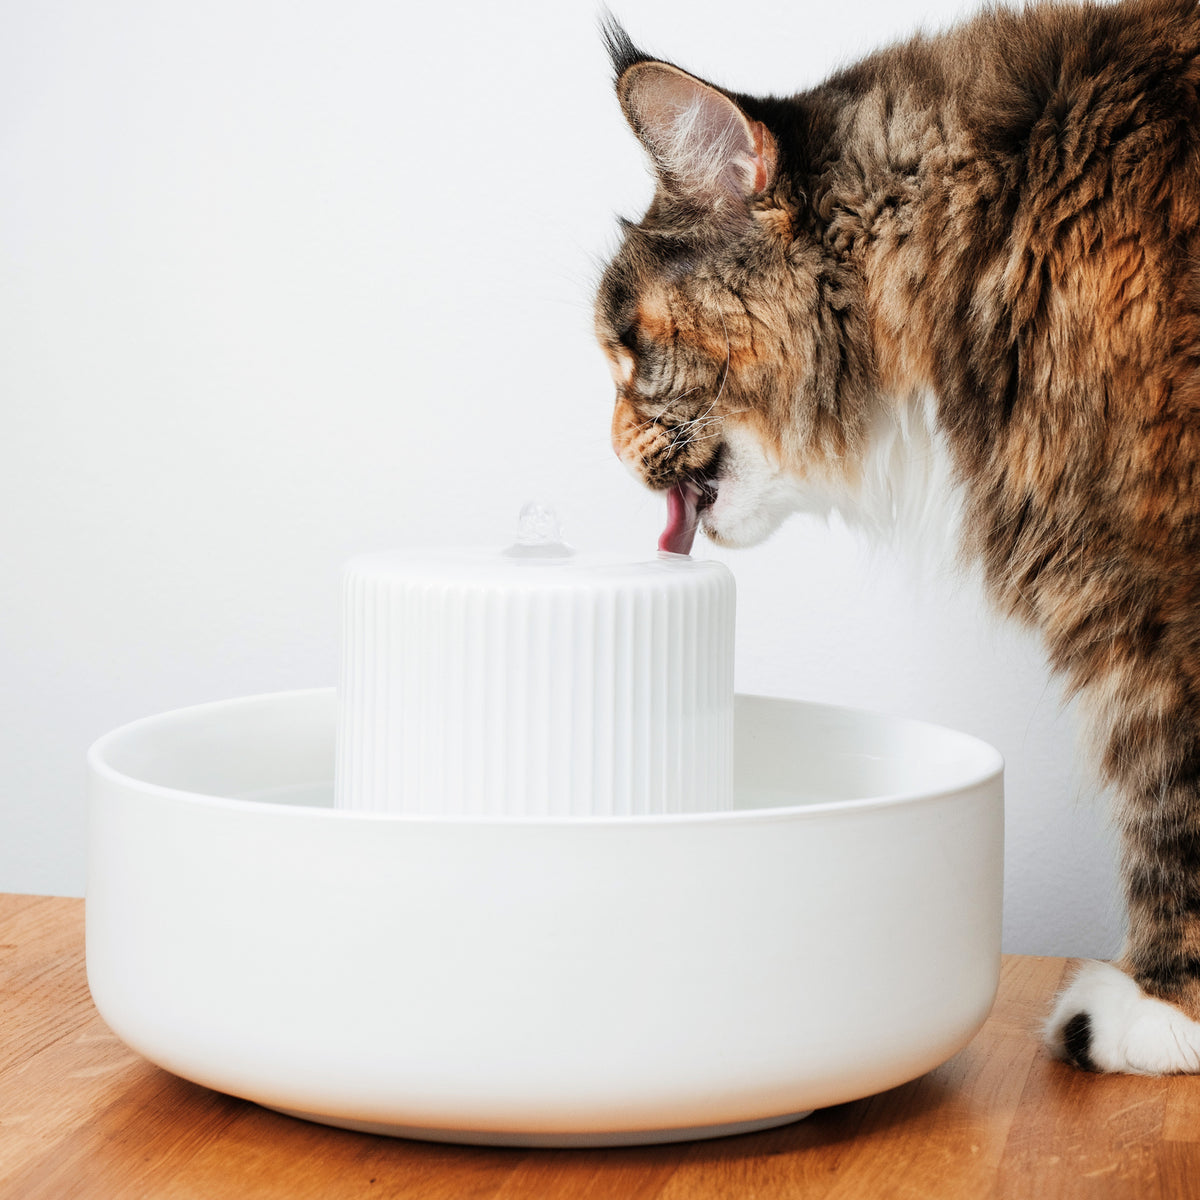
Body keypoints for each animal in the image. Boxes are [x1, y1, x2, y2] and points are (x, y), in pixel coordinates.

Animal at [595, 0, 1200, 1075]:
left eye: (627, 348)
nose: (606, 446)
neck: (1008, 220)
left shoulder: (1160, 580)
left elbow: (1171, 787)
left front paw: (1160, 1006)